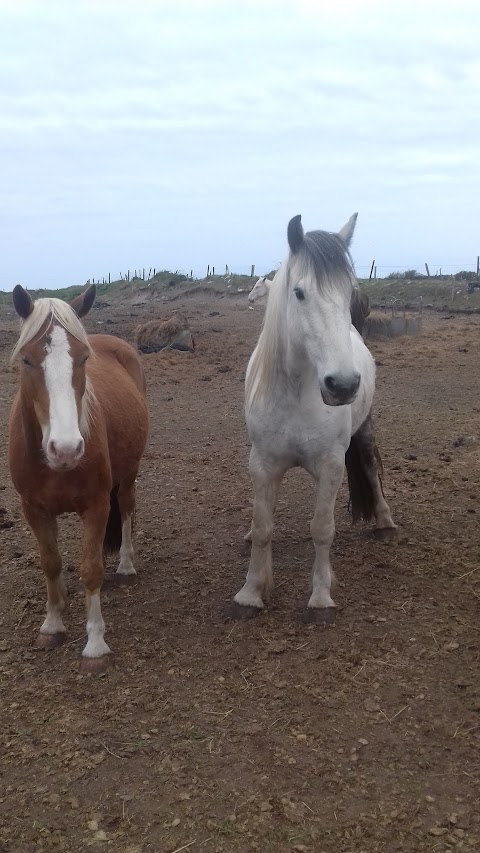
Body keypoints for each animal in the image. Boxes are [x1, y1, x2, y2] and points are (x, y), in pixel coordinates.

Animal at [8, 286, 148, 672]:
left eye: (84, 359)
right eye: (26, 360)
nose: (66, 449)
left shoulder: (96, 505)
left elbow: (91, 570)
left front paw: (95, 643)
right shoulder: (34, 509)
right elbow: (51, 562)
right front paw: (52, 624)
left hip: (128, 475)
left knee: (126, 509)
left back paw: (126, 565)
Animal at [232, 211, 394, 624]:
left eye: (348, 292)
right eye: (300, 293)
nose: (342, 385)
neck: (296, 390)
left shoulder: (331, 463)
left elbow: (322, 528)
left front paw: (320, 595)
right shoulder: (262, 463)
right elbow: (263, 526)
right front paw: (251, 591)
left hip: (363, 431)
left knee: (369, 467)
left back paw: (384, 520)